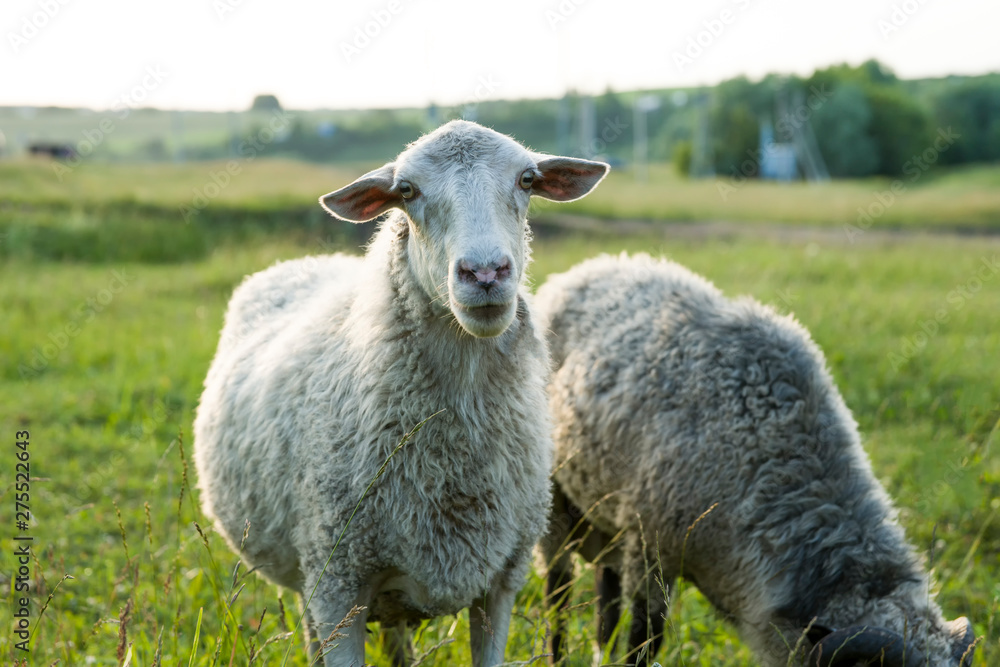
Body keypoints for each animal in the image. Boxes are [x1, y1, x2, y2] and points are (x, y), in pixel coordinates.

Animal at [192, 120, 609, 667]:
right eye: (407, 191)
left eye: (527, 179)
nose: (485, 273)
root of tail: (305, 261)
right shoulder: (337, 584)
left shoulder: (500, 581)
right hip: (312, 573)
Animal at [535, 253, 976, 667]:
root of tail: (589, 267)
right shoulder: (651, 551)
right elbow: (644, 642)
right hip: (557, 504)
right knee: (558, 595)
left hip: (602, 515)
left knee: (604, 599)